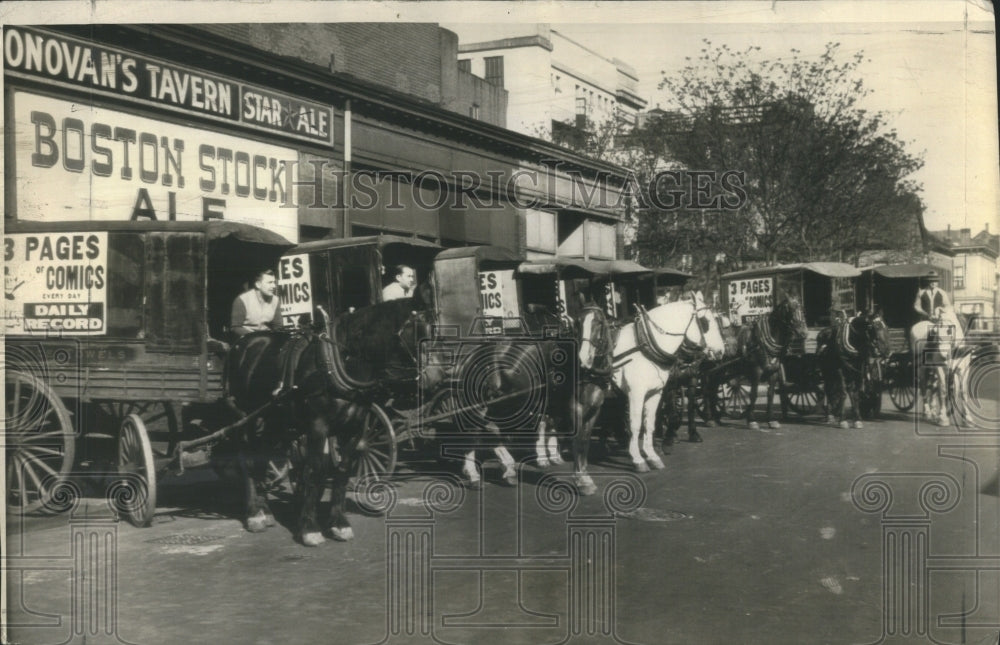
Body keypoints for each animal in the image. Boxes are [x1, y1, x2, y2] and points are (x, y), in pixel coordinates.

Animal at [604, 294, 724, 470]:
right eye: (705, 322)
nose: (722, 350)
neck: (645, 345)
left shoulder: (657, 391)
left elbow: (650, 422)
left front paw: (653, 455)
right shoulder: (637, 392)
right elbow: (637, 424)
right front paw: (639, 458)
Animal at [736, 300, 812, 430]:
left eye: (802, 311)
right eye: (790, 311)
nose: (803, 332)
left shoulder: (773, 373)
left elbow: (770, 394)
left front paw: (771, 420)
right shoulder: (755, 372)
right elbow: (753, 394)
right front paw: (752, 421)